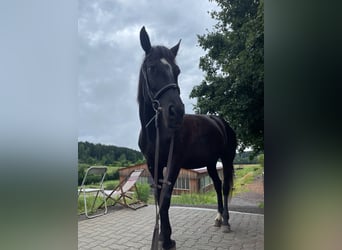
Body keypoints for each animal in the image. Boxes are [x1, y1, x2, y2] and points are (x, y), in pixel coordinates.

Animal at [138, 26, 236, 249]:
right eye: (151, 68)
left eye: (177, 71)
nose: (177, 111)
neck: (157, 132)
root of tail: (221, 122)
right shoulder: (153, 163)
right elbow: (158, 197)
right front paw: (164, 236)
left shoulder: (174, 161)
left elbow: (166, 198)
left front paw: (166, 239)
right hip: (210, 162)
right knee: (217, 185)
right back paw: (218, 218)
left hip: (226, 159)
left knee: (225, 186)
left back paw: (226, 222)